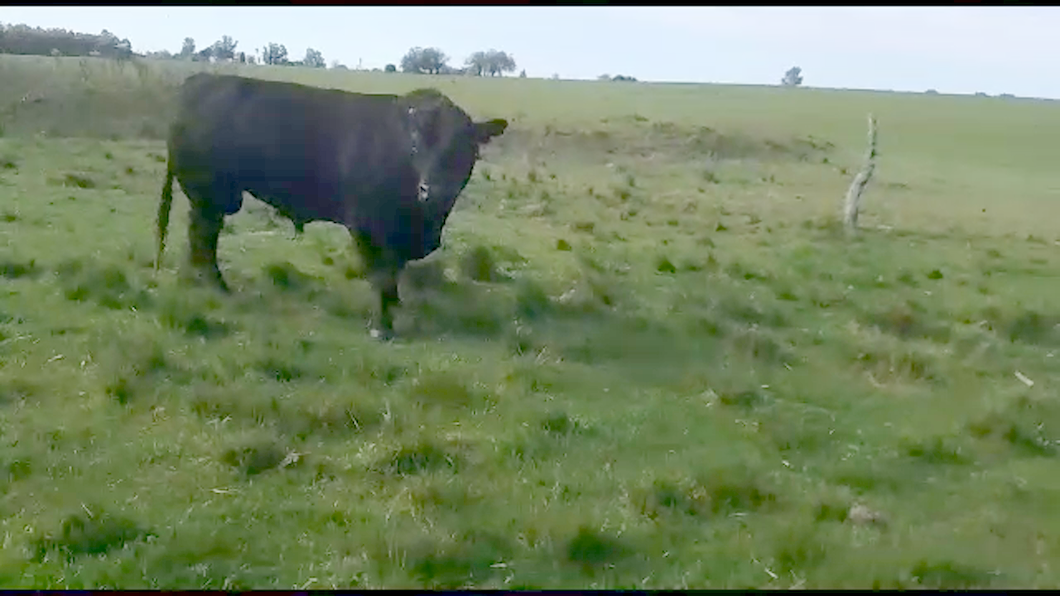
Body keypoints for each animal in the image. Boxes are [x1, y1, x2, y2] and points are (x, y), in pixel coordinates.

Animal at [152, 72, 508, 337]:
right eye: (416, 143)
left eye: (466, 147)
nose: (433, 190)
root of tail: (198, 80)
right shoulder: (367, 225)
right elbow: (381, 274)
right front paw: (382, 326)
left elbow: (394, 273)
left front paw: (395, 307)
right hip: (212, 195)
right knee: (203, 236)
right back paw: (217, 285)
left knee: (200, 236)